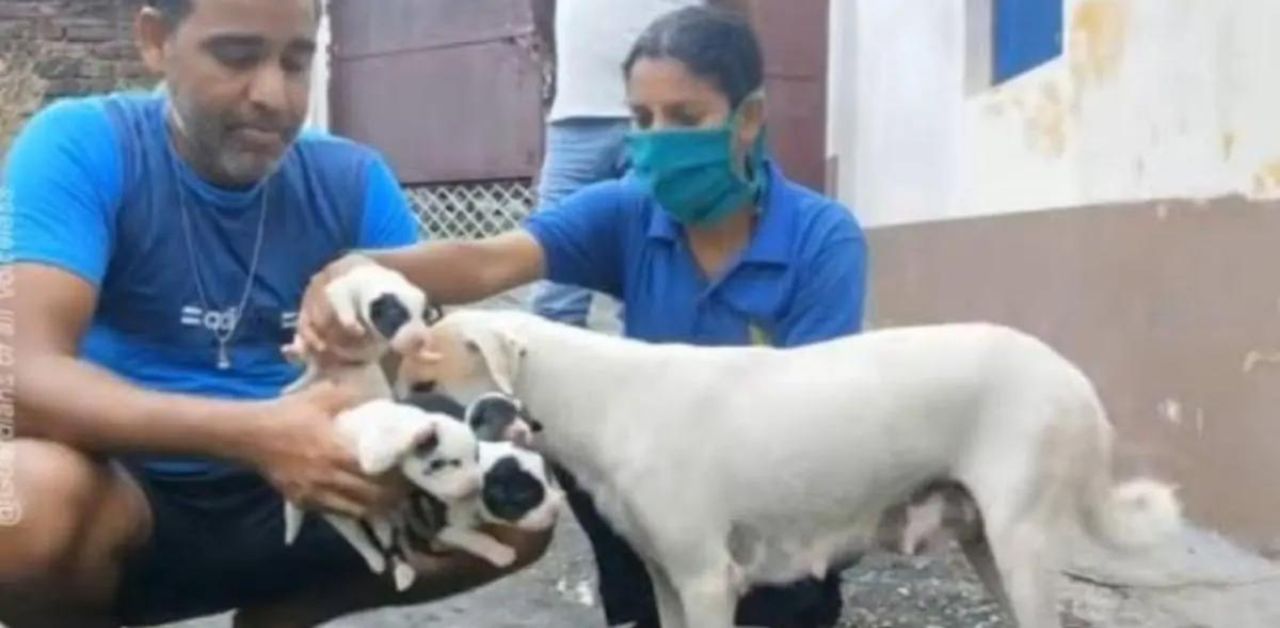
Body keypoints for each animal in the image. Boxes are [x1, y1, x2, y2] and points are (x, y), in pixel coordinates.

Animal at [394, 309, 1182, 628]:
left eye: (426, 380)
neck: (601, 396)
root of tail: (1073, 377)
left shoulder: (709, 581)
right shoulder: (666, 580)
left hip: (1020, 543)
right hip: (988, 543)